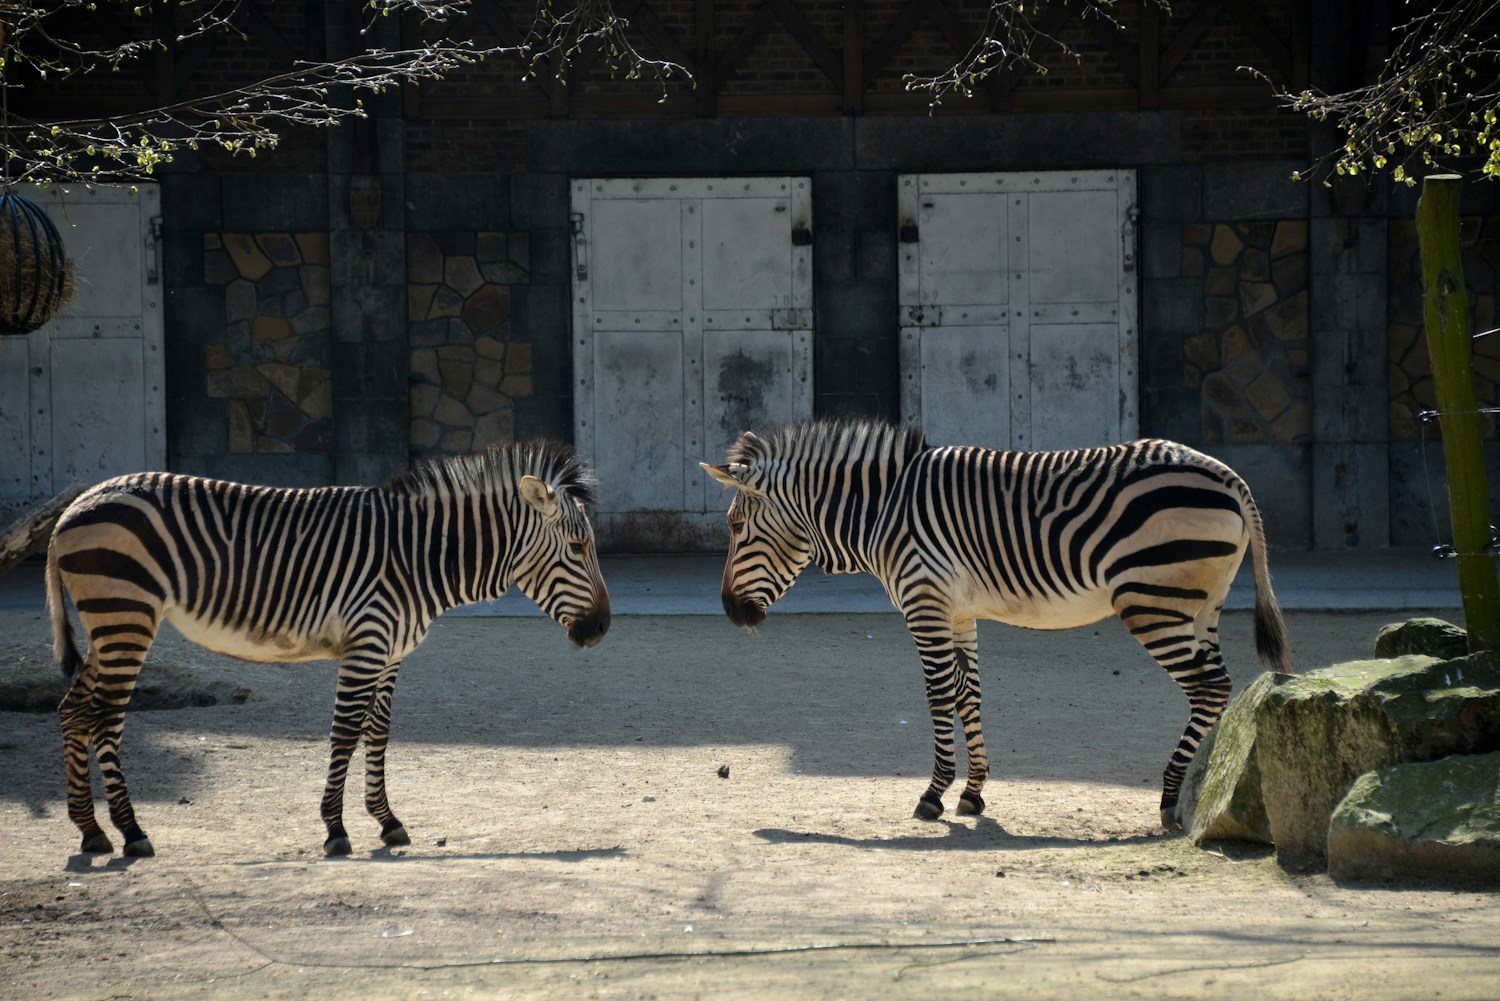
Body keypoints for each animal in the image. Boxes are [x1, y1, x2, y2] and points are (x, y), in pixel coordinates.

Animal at [46, 441, 610, 858]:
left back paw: (90, 831)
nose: (602, 628)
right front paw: (336, 829)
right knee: (105, 718)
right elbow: (345, 732)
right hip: (126, 616)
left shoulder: (390, 652)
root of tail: (70, 509)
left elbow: (378, 732)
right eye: (578, 548)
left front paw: (387, 820)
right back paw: (131, 832)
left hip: (109, 625)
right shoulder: (366, 644)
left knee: (73, 710)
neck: (420, 556)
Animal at [701, 419, 1291, 829]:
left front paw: (934, 794)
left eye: (736, 528)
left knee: (1208, 686)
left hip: (1151, 600)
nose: (729, 611)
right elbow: (969, 693)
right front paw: (973, 792)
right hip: (1200, 605)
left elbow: (939, 695)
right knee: (1217, 687)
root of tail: (1226, 475)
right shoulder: (958, 611)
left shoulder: (925, 602)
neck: (882, 509)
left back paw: (1170, 797)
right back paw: (1205, 787)